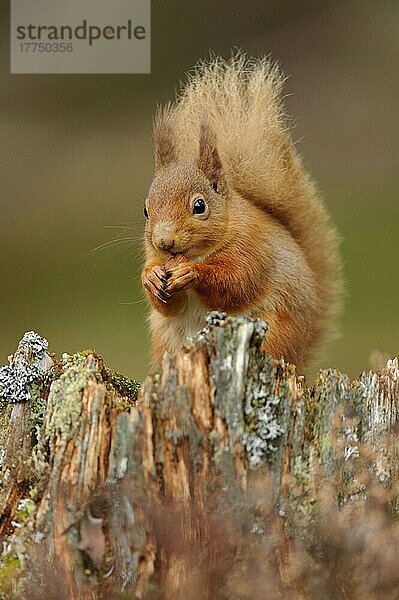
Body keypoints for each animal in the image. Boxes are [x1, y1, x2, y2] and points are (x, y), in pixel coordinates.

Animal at [142, 54, 342, 368]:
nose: (164, 242)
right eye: (146, 211)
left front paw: (191, 272)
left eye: (199, 206)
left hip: (275, 334)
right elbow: (168, 306)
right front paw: (150, 276)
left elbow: (235, 283)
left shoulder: (252, 249)